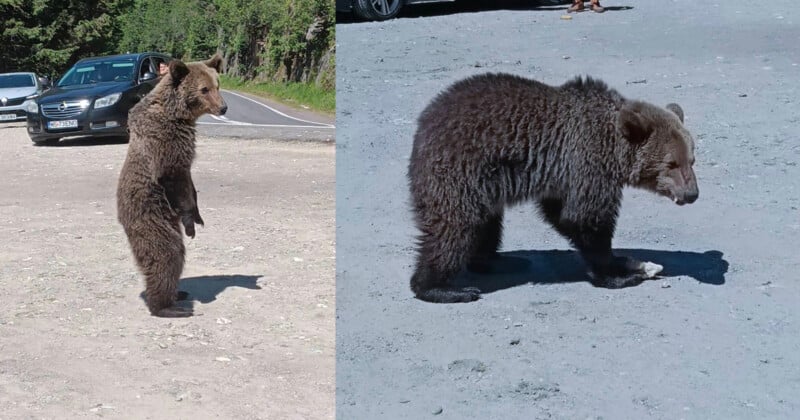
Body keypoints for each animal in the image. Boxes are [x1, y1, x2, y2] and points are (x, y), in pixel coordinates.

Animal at [117, 54, 227, 317]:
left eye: (218, 85)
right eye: (204, 89)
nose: (224, 108)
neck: (179, 115)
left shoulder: (184, 152)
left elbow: (190, 184)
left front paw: (198, 215)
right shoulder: (166, 144)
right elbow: (174, 180)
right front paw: (190, 221)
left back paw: (179, 293)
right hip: (151, 216)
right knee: (166, 254)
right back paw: (168, 307)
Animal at [407, 73, 699, 304]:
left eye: (691, 160)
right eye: (671, 163)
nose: (692, 194)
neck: (613, 148)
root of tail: (423, 127)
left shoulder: (562, 176)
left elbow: (560, 213)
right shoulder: (585, 162)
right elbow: (585, 218)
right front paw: (618, 273)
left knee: (487, 224)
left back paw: (500, 260)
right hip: (460, 171)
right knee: (455, 228)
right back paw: (443, 288)